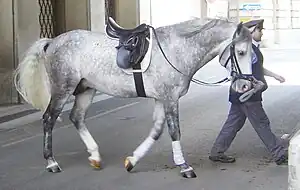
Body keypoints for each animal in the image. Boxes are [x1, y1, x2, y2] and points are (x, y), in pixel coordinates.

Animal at [13, 17, 258, 179]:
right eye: (241, 52)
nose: (245, 84)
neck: (177, 49)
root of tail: (52, 42)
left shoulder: (161, 99)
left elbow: (156, 131)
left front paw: (132, 161)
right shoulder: (170, 98)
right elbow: (174, 131)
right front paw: (184, 166)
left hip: (86, 89)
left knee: (77, 117)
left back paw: (95, 156)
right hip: (63, 89)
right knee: (49, 119)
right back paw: (51, 162)